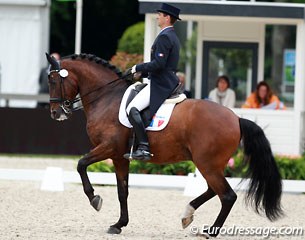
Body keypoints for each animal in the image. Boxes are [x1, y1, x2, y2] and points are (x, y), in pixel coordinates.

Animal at [46, 53, 282, 237]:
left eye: (53, 81)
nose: (56, 113)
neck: (106, 98)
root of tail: (236, 118)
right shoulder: (119, 157)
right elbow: (123, 191)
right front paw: (119, 224)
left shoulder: (109, 148)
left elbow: (81, 165)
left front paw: (95, 199)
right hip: (211, 164)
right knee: (213, 190)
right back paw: (187, 215)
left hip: (207, 163)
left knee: (227, 195)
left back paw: (210, 231)